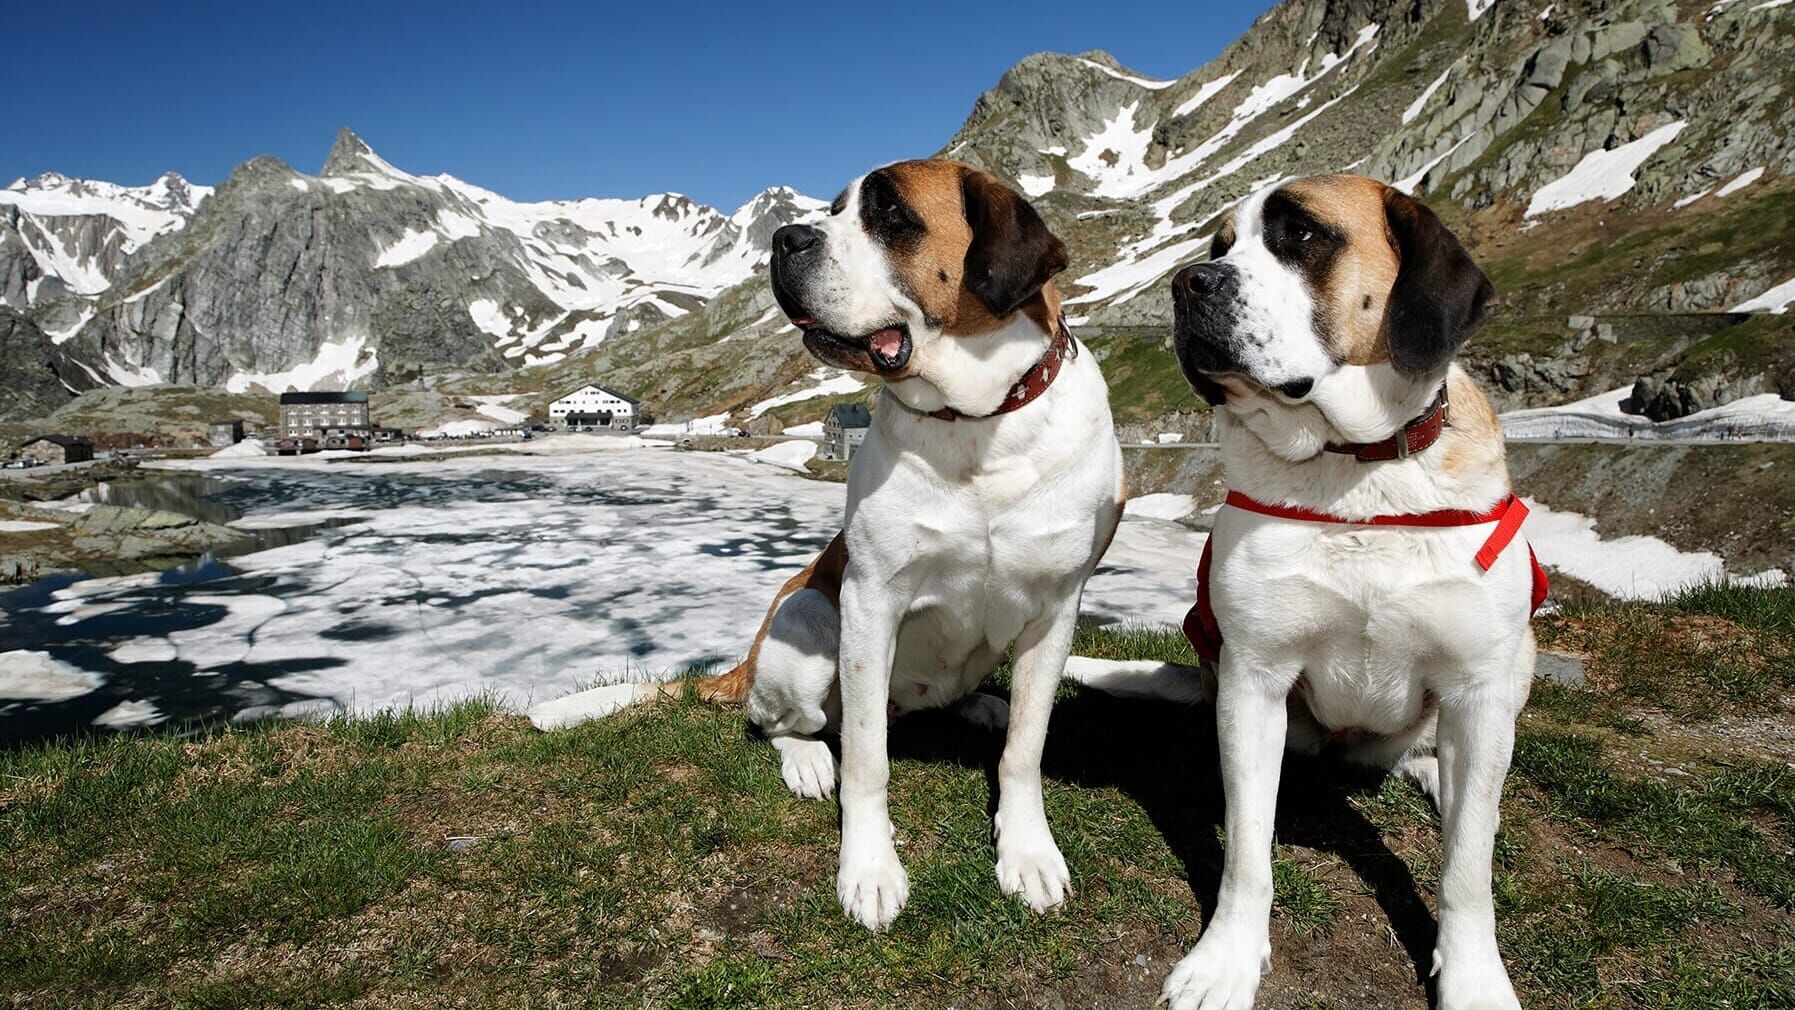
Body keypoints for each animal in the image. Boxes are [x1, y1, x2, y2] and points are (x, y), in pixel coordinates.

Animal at [531, 164, 1120, 932]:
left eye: (891, 214)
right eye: (835, 209)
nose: (785, 239)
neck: (977, 425)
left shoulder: (1055, 611)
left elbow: (1024, 751)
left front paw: (1027, 853)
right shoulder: (870, 601)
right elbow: (868, 760)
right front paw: (868, 868)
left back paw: (982, 704)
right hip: (806, 620)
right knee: (773, 719)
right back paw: (806, 760)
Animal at [1141, 175, 1536, 1010]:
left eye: (1301, 235)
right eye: (1220, 245)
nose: (1187, 282)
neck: (1352, 467)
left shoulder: (1480, 685)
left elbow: (1466, 871)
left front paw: (1474, 978)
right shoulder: (1254, 680)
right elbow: (1246, 849)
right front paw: (1226, 959)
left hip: (1513, 666)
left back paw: (1439, 774)